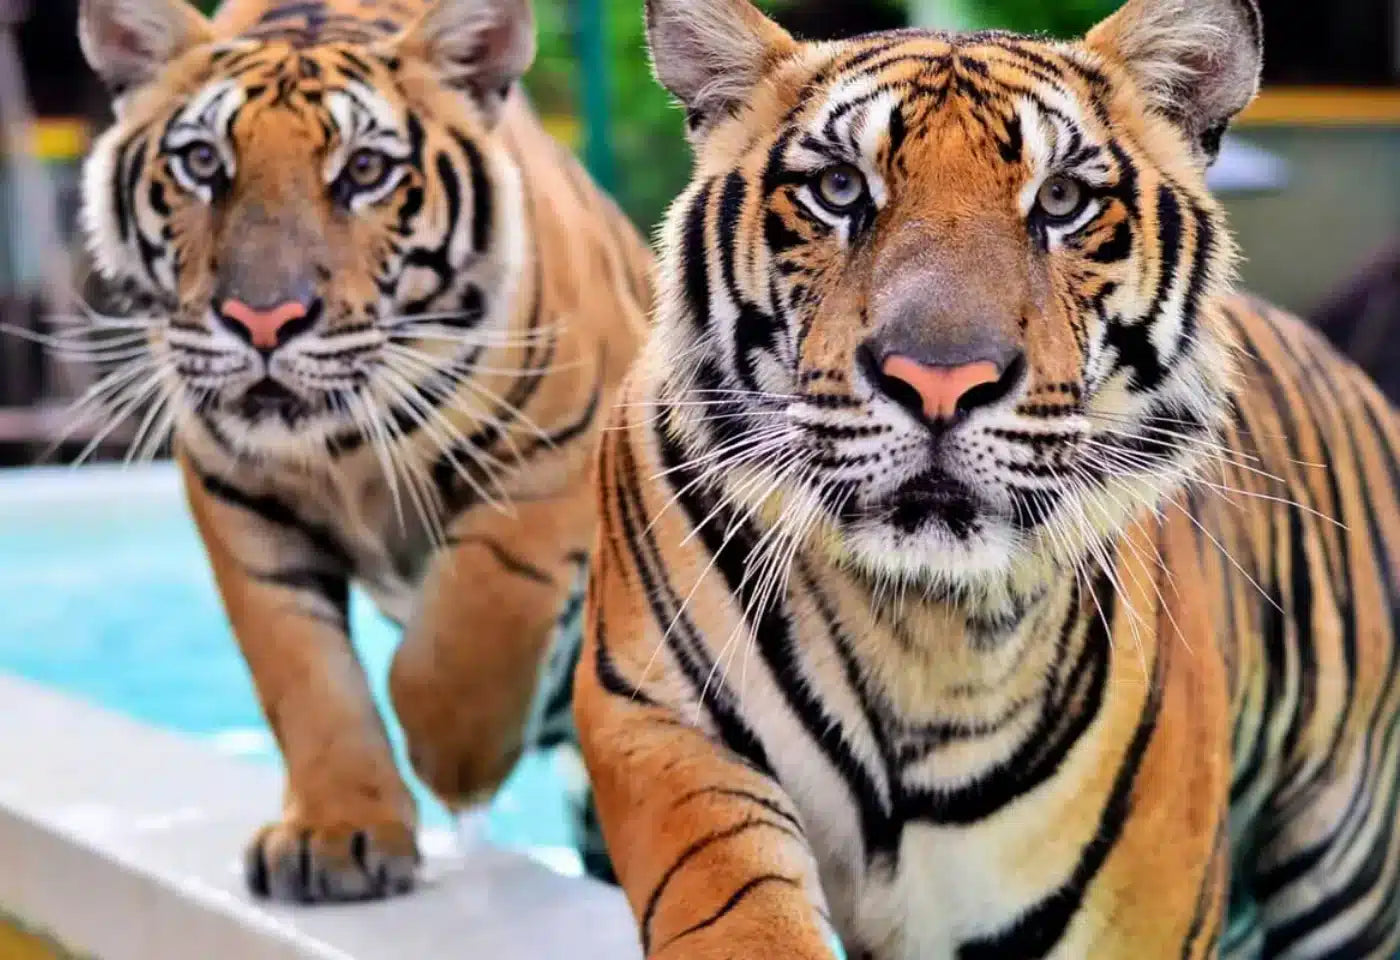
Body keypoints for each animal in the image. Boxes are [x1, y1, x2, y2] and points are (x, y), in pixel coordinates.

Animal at [76, 0, 648, 902]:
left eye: (366, 170)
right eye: (202, 163)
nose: (263, 321)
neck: (341, 445)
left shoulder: (553, 462)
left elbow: (466, 629)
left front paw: (456, 765)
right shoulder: (241, 504)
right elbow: (307, 677)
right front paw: (336, 835)